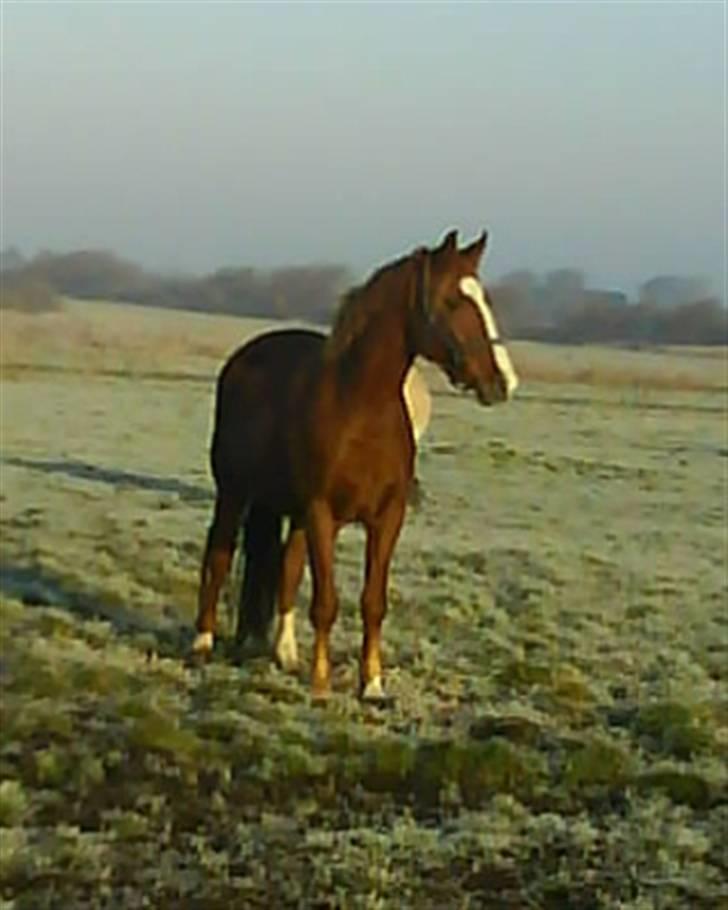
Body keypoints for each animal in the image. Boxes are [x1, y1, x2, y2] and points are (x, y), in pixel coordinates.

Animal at [191, 232, 516, 700]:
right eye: (454, 300)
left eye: (485, 299)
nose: (502, 382)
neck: (361, 408)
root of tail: (245, 358)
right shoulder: (321, 511)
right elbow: (326, 602)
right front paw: (322, 684)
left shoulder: (387, 517)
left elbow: (372, 602)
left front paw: (372, 685)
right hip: (235, 493)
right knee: (218, 555)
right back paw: (201, 643)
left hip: (289, 510)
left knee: (287, 571)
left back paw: (285, 654)